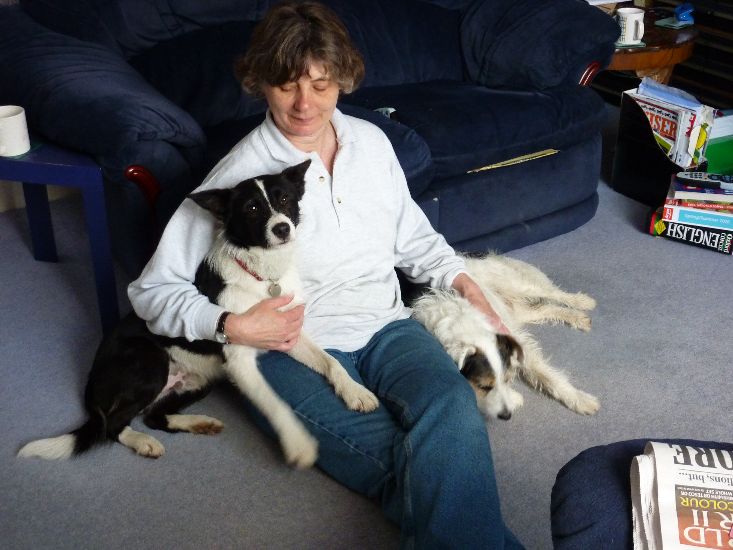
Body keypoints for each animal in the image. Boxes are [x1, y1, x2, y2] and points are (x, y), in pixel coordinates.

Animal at [17, 160, 379, 468]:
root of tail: (91, 383)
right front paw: (298, 443)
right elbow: (276, 403)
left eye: (286, 199)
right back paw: (143, 442)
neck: (263, 276)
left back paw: (197, 423)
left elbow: (330, 362)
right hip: (152, 361)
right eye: (251, 208)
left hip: (200, 381)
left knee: (154, 416)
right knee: (114, 425)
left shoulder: (289, 334)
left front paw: (356, 393)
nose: (282, 229)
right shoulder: (240, 361)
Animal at [411, 253, 600, 420]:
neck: (466, 326)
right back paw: (579, 318)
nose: (506, 415)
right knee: (544, 308)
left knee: (554, 293)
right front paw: (514, 398)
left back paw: (582, 301)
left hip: (516, 286)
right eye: (484, 386)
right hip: (515, 310)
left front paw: (580, 400)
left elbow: (547, 376)